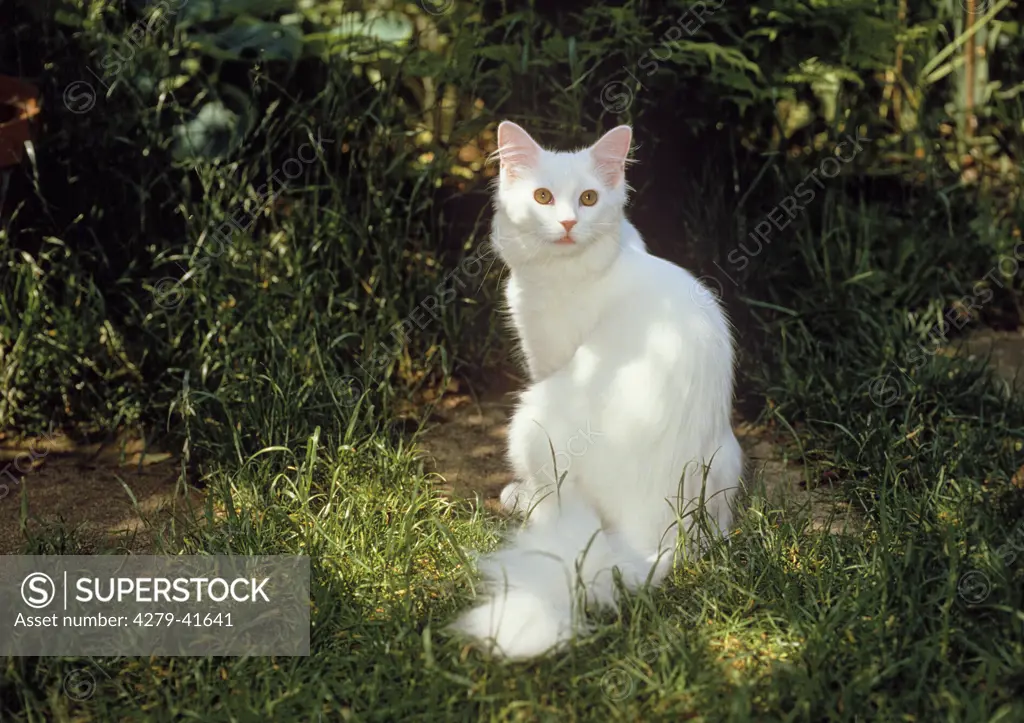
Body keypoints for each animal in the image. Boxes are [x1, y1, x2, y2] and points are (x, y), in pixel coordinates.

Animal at [452, 119, 741, 659]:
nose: (568, 223)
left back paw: (520, 499)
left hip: (531, 417)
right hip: (730, 459)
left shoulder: (546, 357)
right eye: (543, 197)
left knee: (551, 510)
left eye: (588, 198)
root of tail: (650, 533)